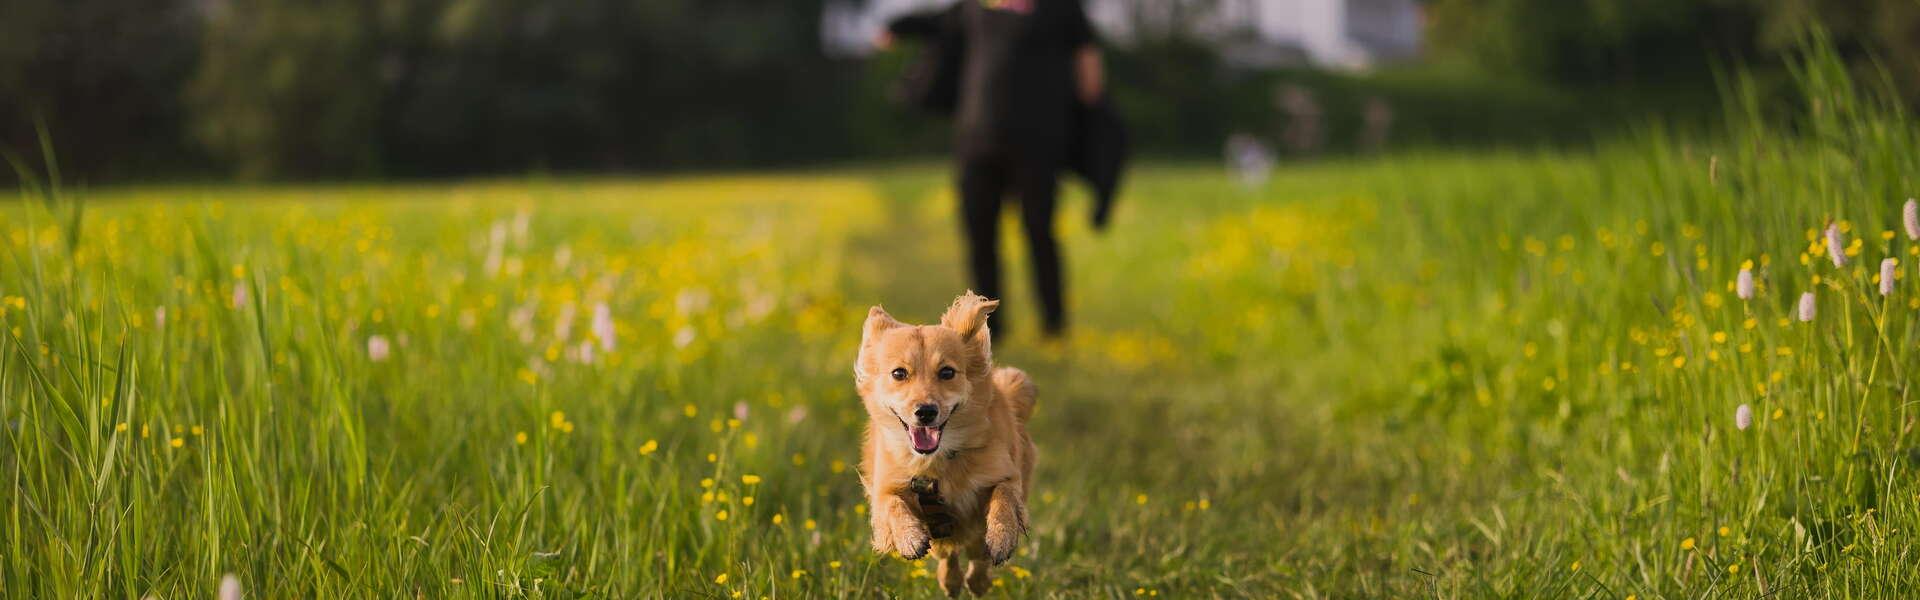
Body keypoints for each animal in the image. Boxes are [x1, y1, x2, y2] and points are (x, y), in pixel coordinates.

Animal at [856, 290, 1036, 596]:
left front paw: (1001, 537)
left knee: (977, 554)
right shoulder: (885, 487)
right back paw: (952, 582)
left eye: (947, 372)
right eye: (899, 373)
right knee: (949, 555)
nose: (926, 411)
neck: (938, 459)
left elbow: (1003, 496)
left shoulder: (1007, 475)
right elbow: (891, 503)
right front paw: (909, 537)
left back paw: (978, 581)